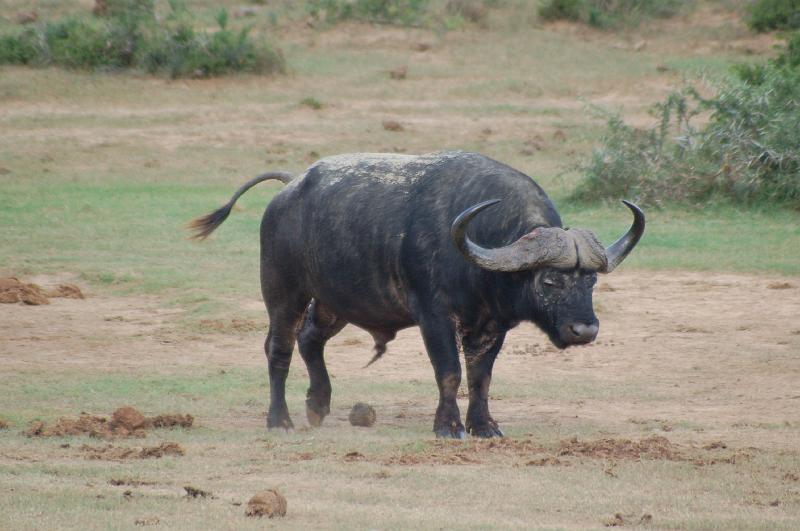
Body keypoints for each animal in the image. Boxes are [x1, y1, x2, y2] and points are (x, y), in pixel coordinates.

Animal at [191, 151, 644, 438]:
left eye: (591, 280)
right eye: (550, 280)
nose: (584, 330)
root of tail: (291, 187)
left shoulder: (491, 326)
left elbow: (481, 378)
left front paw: (484, 426)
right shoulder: (434, 316)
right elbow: (450, 372)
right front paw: (448, 426)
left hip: (334, 304)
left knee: (310, 340)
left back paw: (318, 405)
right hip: (283, 292)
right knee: (279, 348)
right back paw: (280, 420)